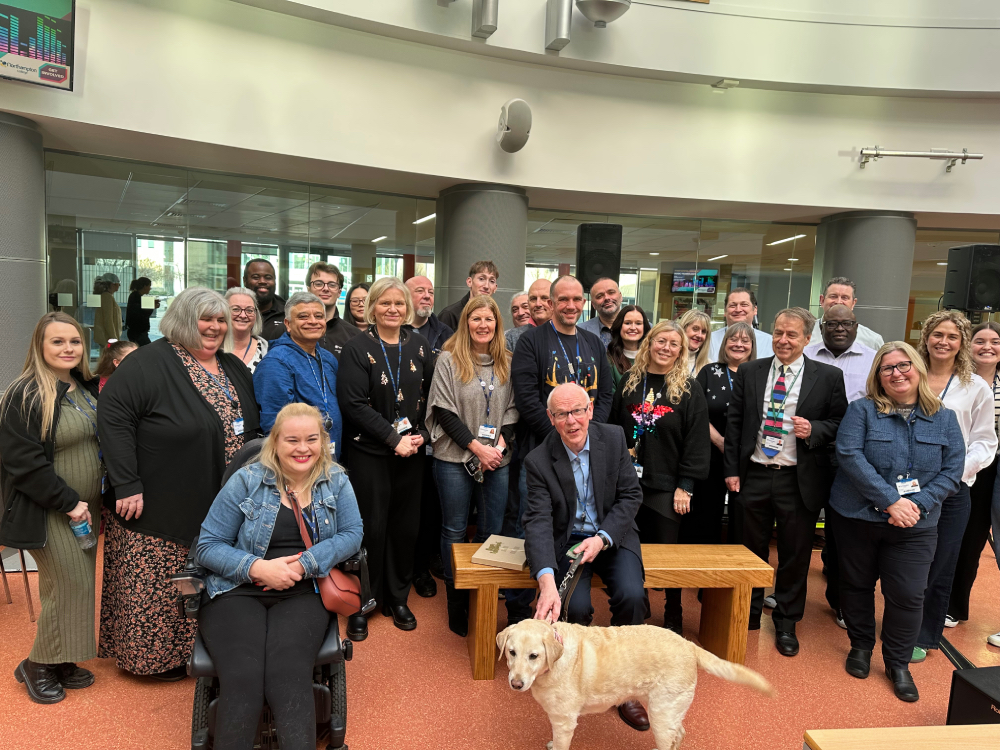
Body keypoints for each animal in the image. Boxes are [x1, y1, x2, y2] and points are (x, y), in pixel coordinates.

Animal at [498, 620, 772, 750]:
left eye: (534, 656)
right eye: (512, 652)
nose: (516, 683)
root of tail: (689, 645)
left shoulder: (565, 722)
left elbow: (561, 744)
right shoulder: (557, 719)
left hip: (661, 715)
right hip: (667, 712)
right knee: (680, 734)